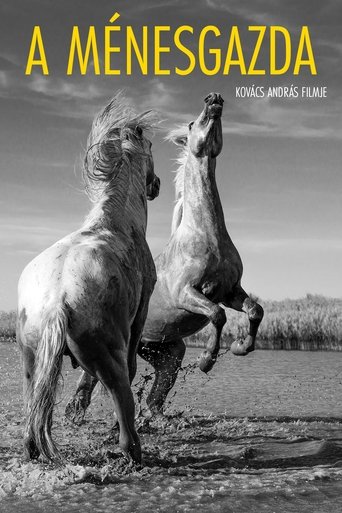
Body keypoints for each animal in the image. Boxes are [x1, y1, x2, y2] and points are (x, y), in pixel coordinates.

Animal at [16, 94, 160, 462]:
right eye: (151, 147)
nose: (155, 185)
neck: (118, 222)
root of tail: (57, 300)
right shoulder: (141, 311)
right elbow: (132, 366)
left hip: (32, 360)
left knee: (34, 416)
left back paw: (35, 448)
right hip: (109, 358)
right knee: (123, 406)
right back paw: (134, 453)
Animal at [67, 92, 264, 420]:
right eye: (192, 123)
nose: (214, 99)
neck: (206, 235)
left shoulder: (230, 290)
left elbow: (254, 310)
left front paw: (241, 347)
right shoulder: (188, 293)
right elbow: (217, 315)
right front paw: (207, 360)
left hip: (166, 352)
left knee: (154, 396)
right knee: (90, 381)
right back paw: (76, 413)